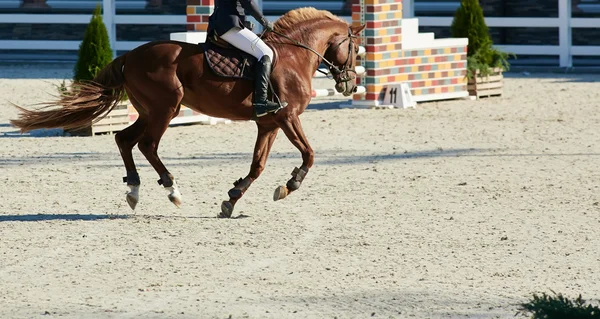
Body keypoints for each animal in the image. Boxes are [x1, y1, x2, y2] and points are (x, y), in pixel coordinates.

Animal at [9, 7, 366, 219]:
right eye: (355, 48)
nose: (350, 84)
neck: (294, 56)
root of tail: (130, 56)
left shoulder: (269, 124)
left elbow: (258, 164)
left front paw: (232, 198)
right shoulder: (288, 117)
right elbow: (309, 154)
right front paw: (290, 185)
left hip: (149, 110)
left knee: (125, 140)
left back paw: (134, 189)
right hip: (166, 108)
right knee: (147, 145)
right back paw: (172, 190)